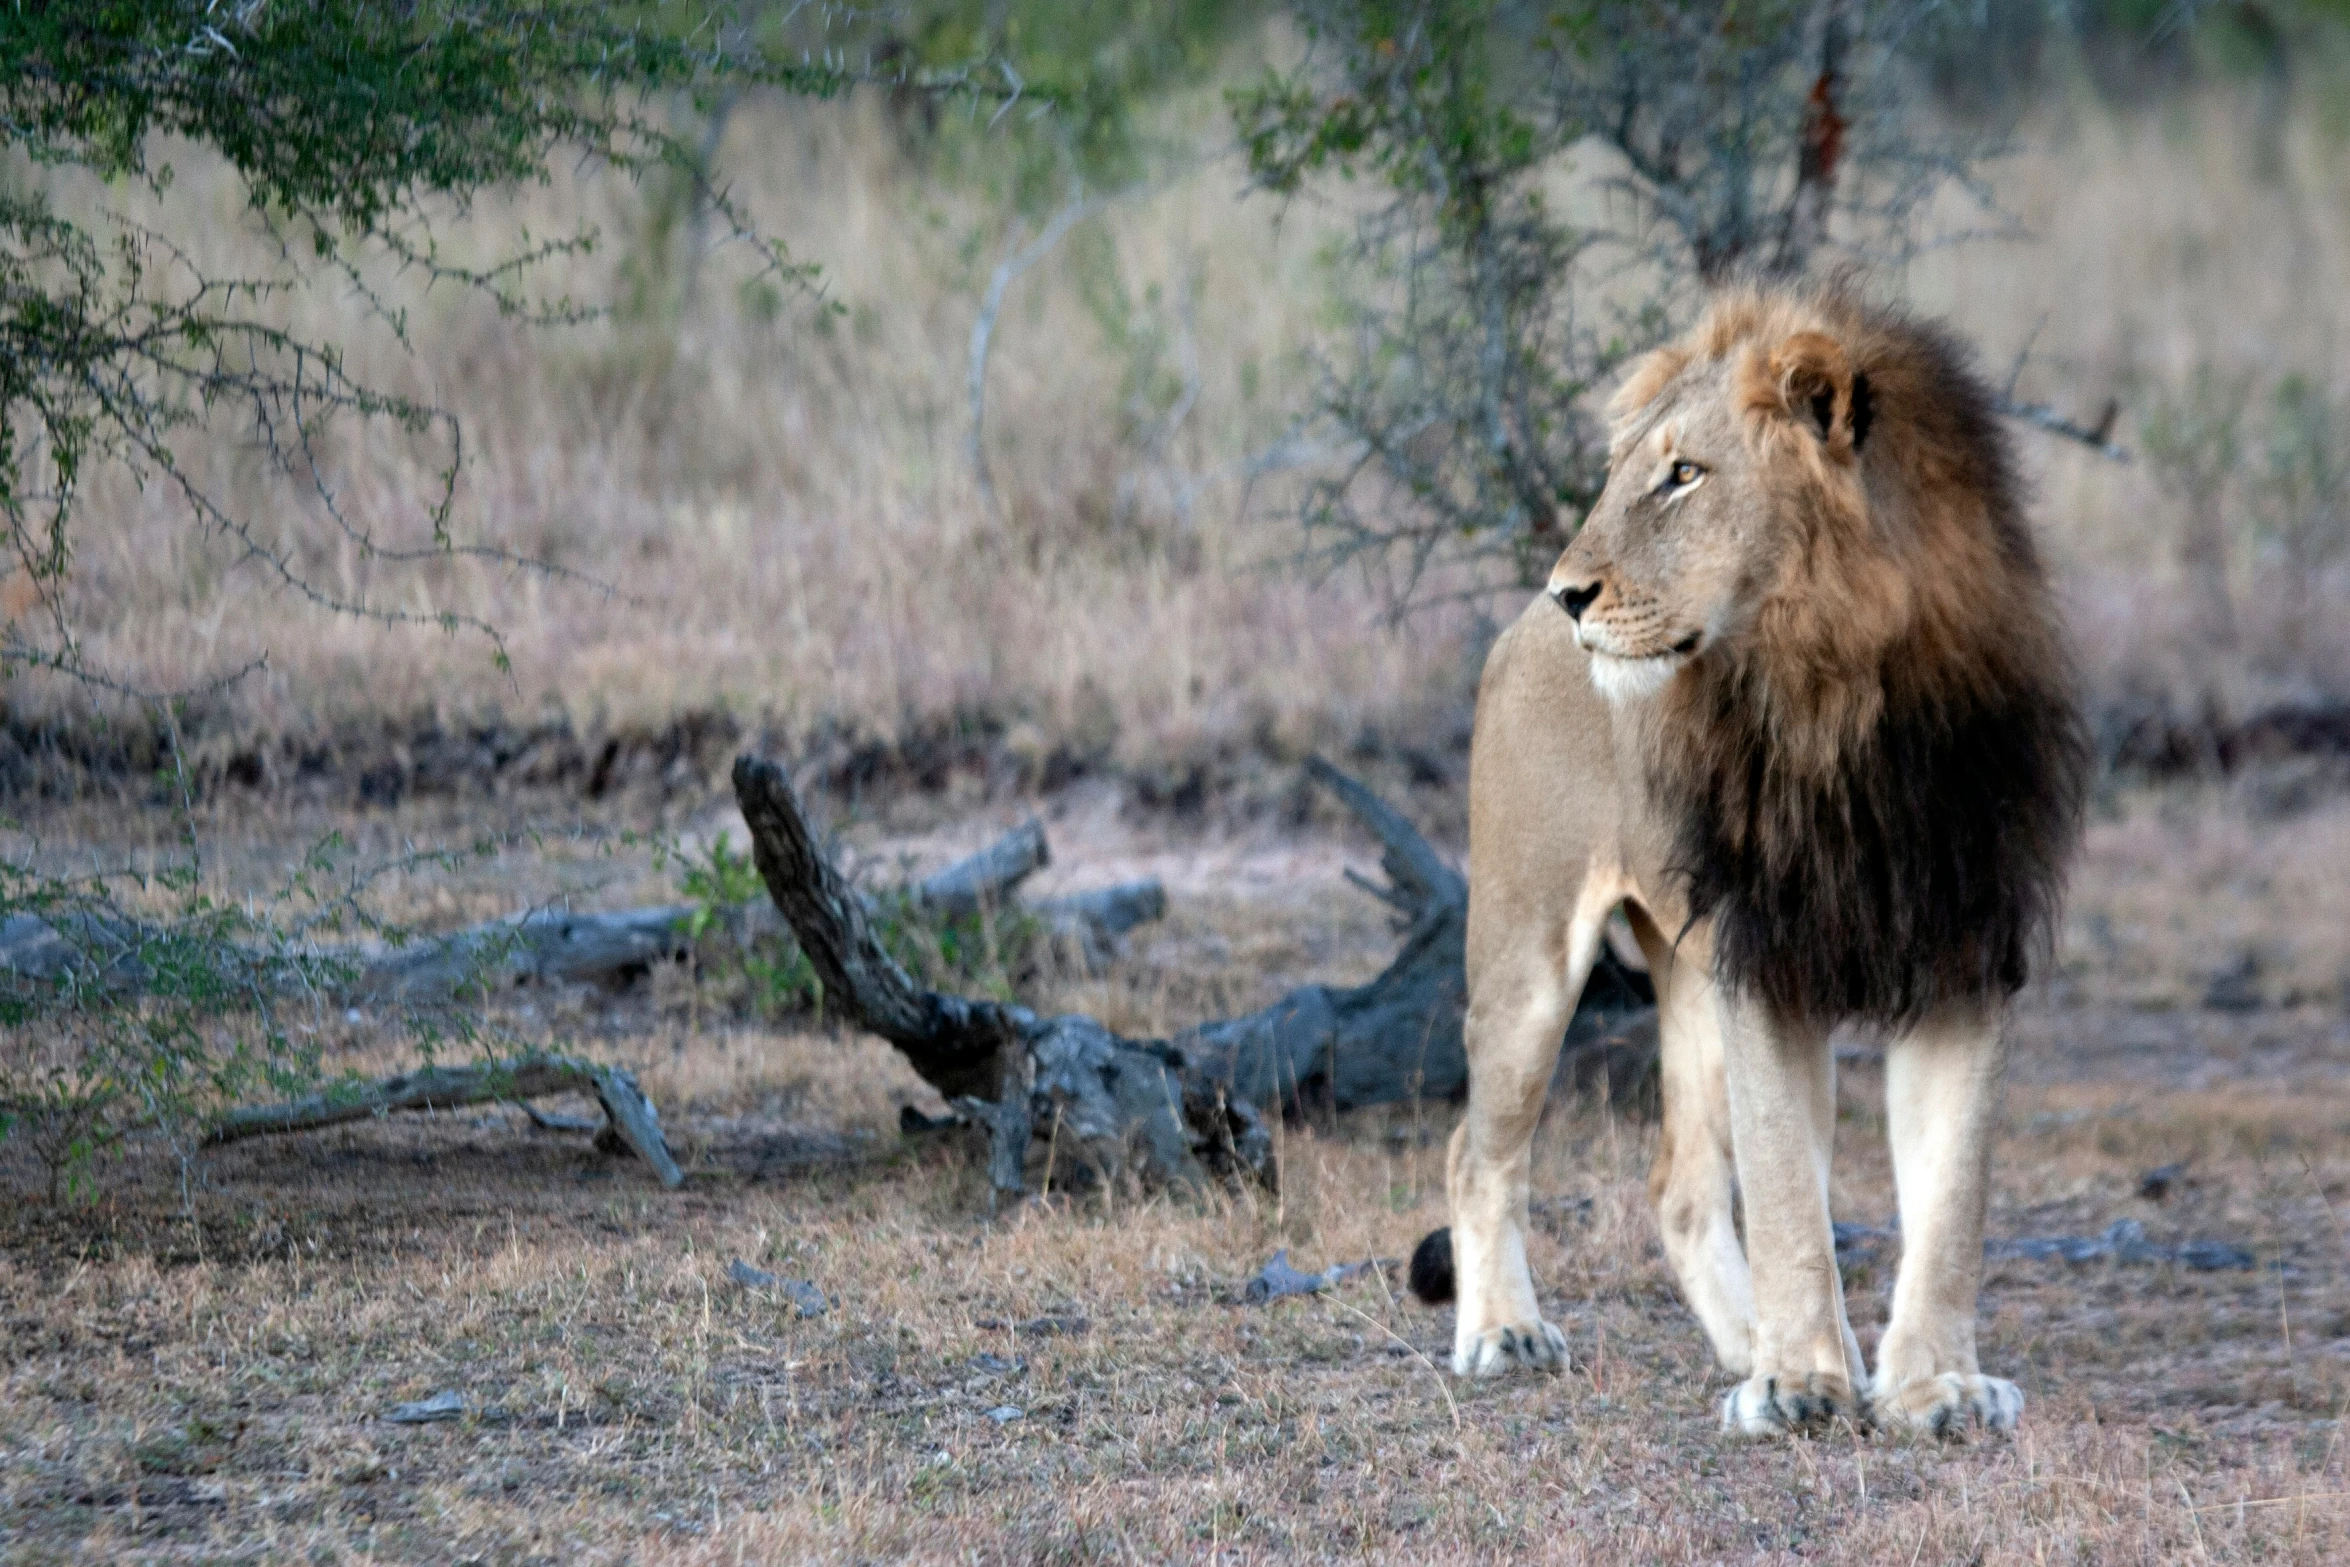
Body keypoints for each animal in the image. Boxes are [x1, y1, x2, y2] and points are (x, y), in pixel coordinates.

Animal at [1400, 287, 2086, 1437]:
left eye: (1685, 473)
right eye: (1624, 470)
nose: (1569, 592)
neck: (1849, 697)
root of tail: (1512, 629)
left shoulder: (1967, 948)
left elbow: (1949, 1198)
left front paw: (1932, 1386)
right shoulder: (1769, 956)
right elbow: (1785, 1196)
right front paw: (1799, 1383)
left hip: (1690, 968)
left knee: (1678, 1185)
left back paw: (1745, 1340)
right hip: (1531, 952)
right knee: (1474, 1150)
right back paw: (1506, 1333)